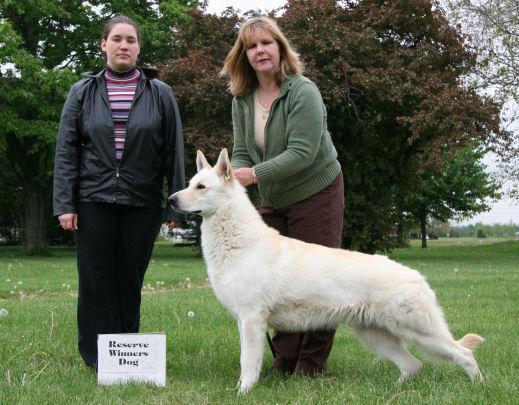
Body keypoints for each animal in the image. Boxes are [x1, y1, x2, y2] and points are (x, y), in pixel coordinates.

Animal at [172, 148, 488, 392]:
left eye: (201, 187)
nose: (171, 199)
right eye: (190, 183)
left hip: (421, 333)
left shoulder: (252, 320)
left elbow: (247, 362)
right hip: (375, 336)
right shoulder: (244, 321)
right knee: (414, 365)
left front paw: (243, 392)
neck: (238, 240)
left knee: (463, 354)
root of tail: (417, 277)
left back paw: (479, 387)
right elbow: (247, 360)